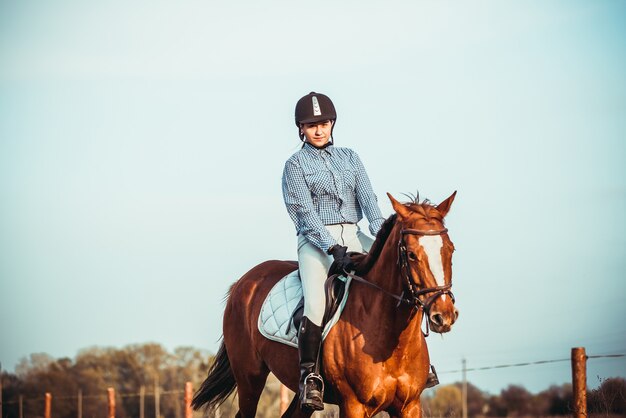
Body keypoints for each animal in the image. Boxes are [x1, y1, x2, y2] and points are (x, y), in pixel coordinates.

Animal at [193, 191, 456, 416]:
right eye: (411, 254)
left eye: (451, 250)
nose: (443, 315)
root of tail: (243, 283)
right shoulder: (353, 405)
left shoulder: (409, 406)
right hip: (249, 378)